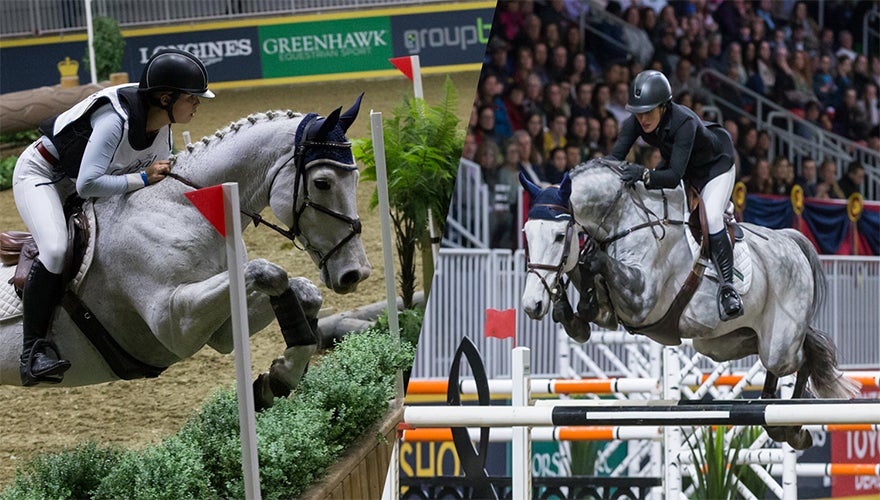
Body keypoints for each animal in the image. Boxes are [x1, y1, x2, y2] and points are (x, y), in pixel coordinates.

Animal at [0, 94, 370, 410]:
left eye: (356, 179)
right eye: (322, 183)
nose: (355, 273)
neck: (185, 210)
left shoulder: (221, 329)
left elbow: (304, 292)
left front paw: (277, 379)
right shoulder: (174, 323)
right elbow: (269, 272)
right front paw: (280, 378)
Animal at [524, 157, 860, 450]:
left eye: (559, 236)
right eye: (526, 234)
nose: (531, 305)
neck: (626, 219)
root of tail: (791, 241)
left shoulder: (642, 302)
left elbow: (593, 264)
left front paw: (576, 297)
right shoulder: (614, 310)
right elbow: (583, 277)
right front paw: (570, 311)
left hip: (778, 345)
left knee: (799, 359)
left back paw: (791, 428)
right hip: (724, 343)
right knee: (794, 354)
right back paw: (778, 416)